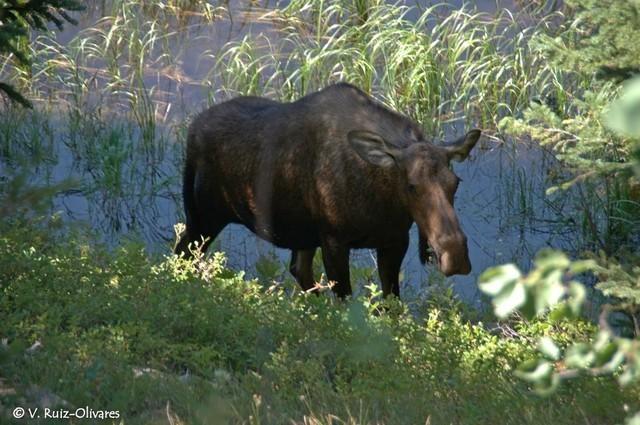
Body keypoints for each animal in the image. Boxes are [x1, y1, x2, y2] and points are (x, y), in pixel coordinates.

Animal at [175, 81, 480, 296]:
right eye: (411, 186)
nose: (455, 255)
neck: (382, 201)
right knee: (182, 253)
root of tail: (192, 131)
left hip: (301, 234)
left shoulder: (395, 240)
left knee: (300, 271)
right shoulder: (334, 240)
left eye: (456, 183)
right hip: (204, 216)